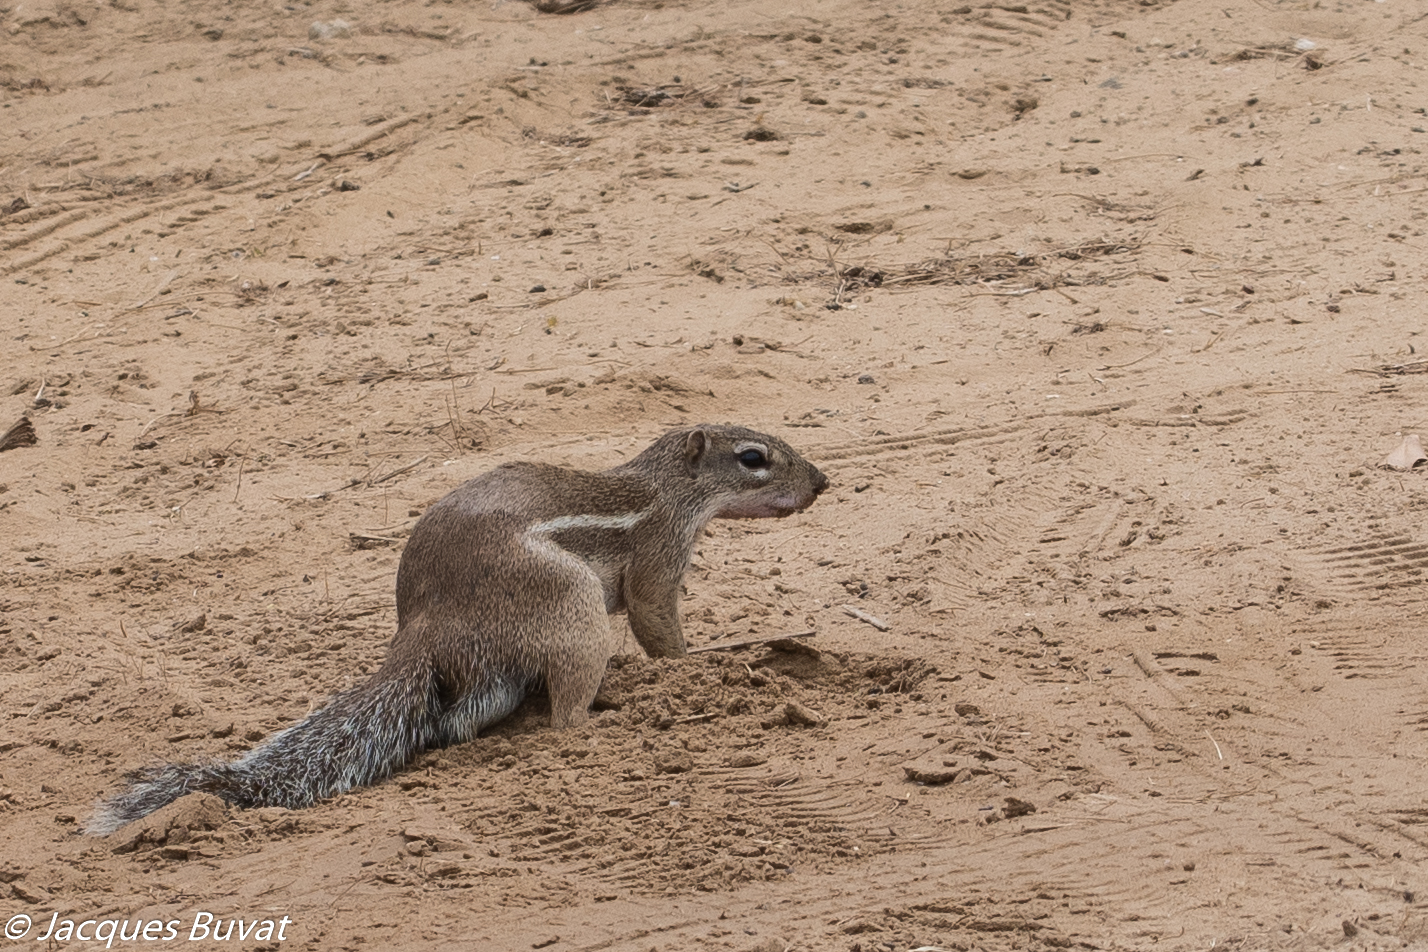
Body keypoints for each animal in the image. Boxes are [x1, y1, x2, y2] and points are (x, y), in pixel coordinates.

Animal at [86, 425, 828, 833]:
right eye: (755, 457)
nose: (822, 482)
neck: (666, 489)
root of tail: (422, 629)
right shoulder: (657, 560)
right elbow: (657, 621)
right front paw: (690, 667)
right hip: (573, 604)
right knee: (563, 716)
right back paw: (608, 716)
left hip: (492, 671)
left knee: (457, 720)